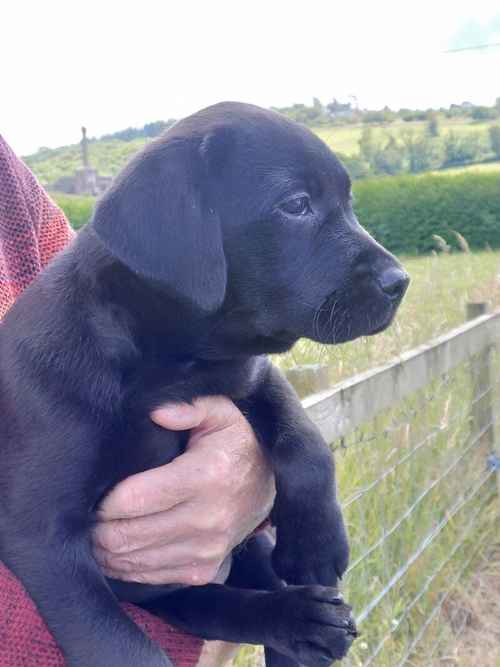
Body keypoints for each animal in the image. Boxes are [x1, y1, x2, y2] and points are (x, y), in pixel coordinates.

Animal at [0, 102, 406, 664]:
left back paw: (302, 620)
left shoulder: (250, 373)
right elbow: (116, 641)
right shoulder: (40, 534)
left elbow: (304, 441)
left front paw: (317, 543)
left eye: (349, 202)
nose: (400, 281)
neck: (171, 366)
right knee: (213, 603)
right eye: (296, 205)